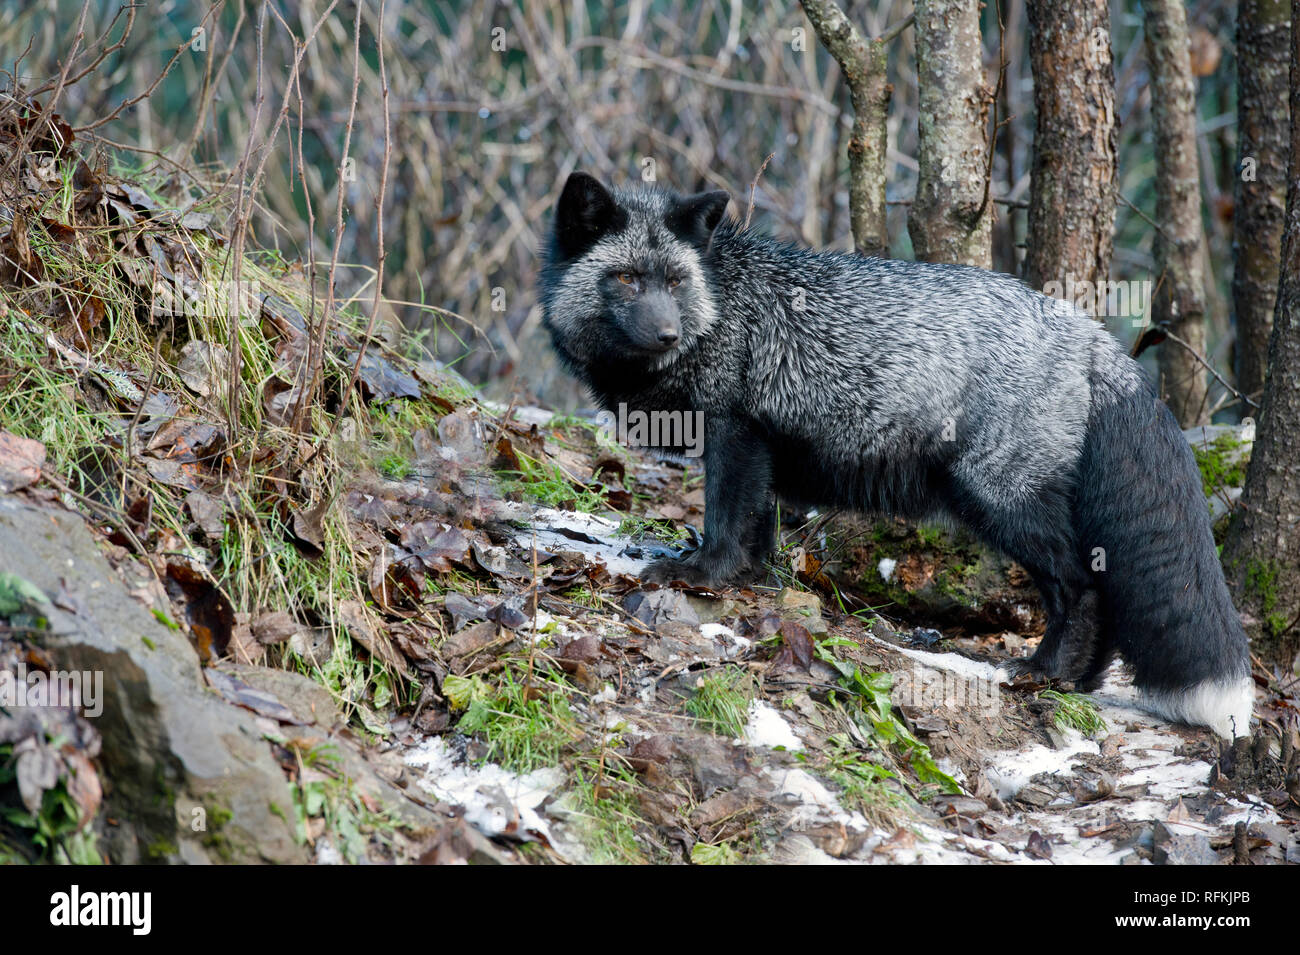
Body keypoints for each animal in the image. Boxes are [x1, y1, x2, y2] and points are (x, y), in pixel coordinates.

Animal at [535, 171, 1248, 738]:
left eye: (677, 280)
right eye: (627, 278)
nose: (668, 333)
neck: (722, 301)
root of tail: (1092, 335)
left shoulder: (734, 435)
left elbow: (724, 522)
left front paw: (703, 575)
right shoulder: (760, 447)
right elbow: (760, 533)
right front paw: (755, 584)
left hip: (998, 497)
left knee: (1083, 586)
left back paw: (1043, 672)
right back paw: (1073, 682)